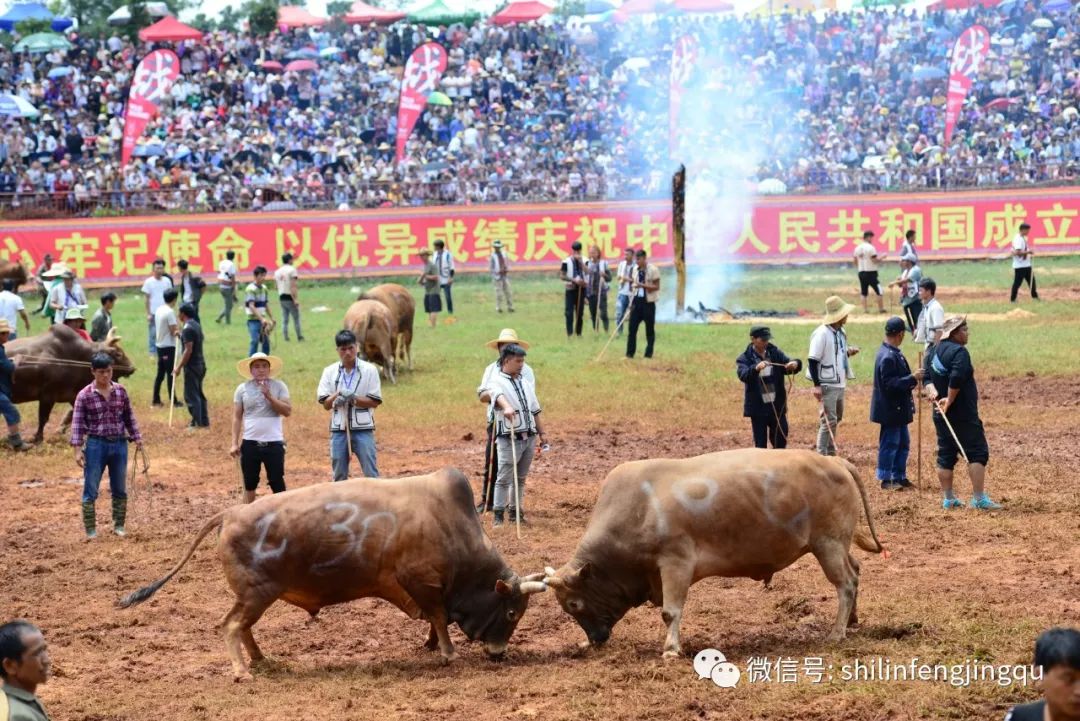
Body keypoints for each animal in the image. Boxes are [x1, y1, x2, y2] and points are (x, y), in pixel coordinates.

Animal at [118, 468, 548, 682]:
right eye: (512, 613)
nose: (499, 654)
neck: (450, 526)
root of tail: (231, 513)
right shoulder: (422, 583)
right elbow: (440, 619)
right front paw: (447, 652)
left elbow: (434, 619)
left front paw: (430, 645)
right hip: (255, 595)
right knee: (231, 626)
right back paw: (242, 670)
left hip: (254, 598)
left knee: (244, 628)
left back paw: (261, 659)